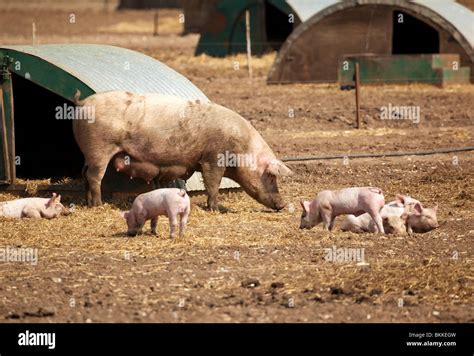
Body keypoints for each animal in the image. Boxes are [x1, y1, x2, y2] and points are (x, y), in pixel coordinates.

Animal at [73, 90, 292, 210]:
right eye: (271, 177)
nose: (282, 205)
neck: (243, 149)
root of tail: (82, 103)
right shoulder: (213, 158)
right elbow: (213, 184)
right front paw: (215, 209)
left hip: (88, 154)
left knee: (84, 175)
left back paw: (88, 203)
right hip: (99, 149)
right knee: (94, 177)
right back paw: (98, 204)